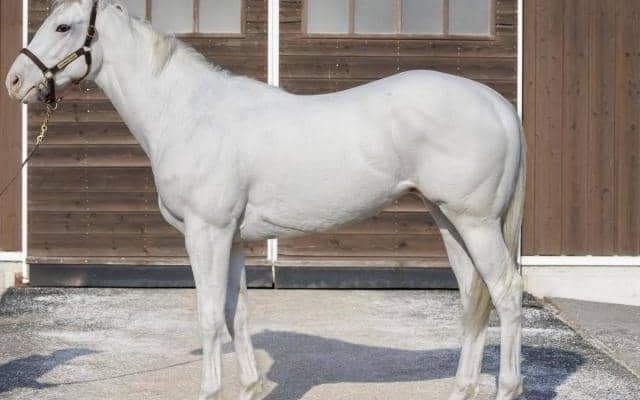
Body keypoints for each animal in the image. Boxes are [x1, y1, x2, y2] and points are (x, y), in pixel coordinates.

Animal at [6, 1, 526, 399]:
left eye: (63, 26)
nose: (13, 81)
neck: (189, 114)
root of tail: (498, 105)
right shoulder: (232, 238)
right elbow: (236, 313)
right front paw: (251, 387)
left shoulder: (207, 233)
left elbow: (210, 316)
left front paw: (209, 390)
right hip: (449, 221)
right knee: (473, 297)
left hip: (476, 223)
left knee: (506, 292)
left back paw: (508, 387)